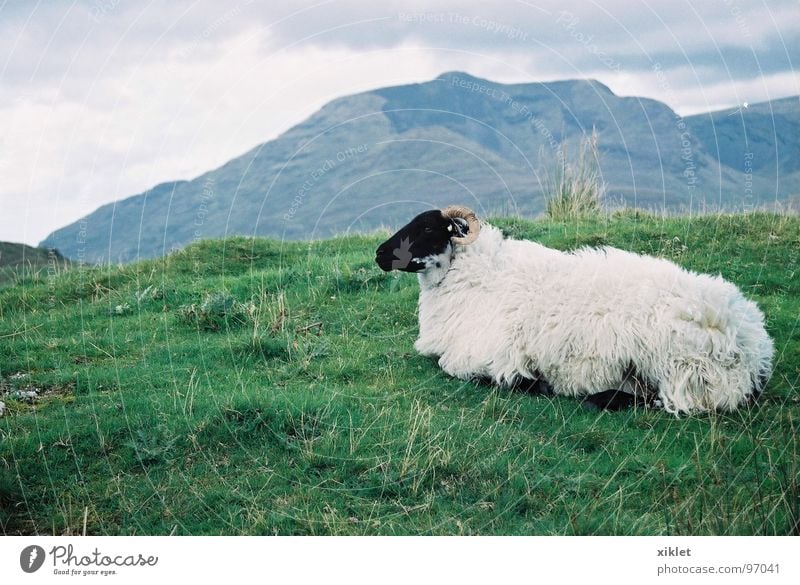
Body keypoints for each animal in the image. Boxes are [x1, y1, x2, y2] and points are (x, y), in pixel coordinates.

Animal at [376, 208, 776, 412]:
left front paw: (524, 381)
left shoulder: (485, 352)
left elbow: (450, 365)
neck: (479, 276)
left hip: (676, 369)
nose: (379, 254)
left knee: (663, 401)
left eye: (429, 229)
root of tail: (751, 345)